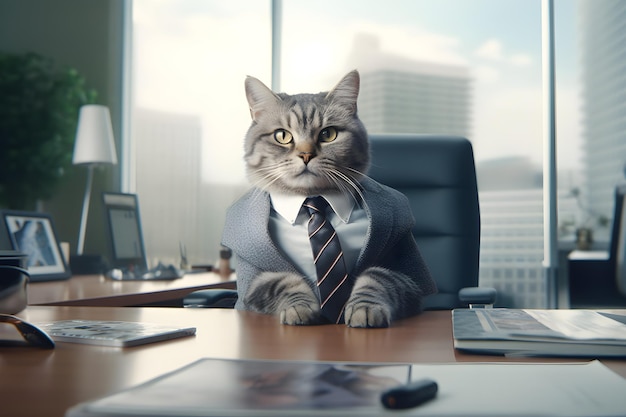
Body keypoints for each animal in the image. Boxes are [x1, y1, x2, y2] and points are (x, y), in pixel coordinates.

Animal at [222, 70, 436, 326]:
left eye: (328, 134)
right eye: (282, 136)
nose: (306, 154)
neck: (313, 201)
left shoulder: (404, 271)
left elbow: (376, 278)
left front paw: (364, 308)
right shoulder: (254, 279)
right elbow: (283, 281)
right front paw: (300, 307)